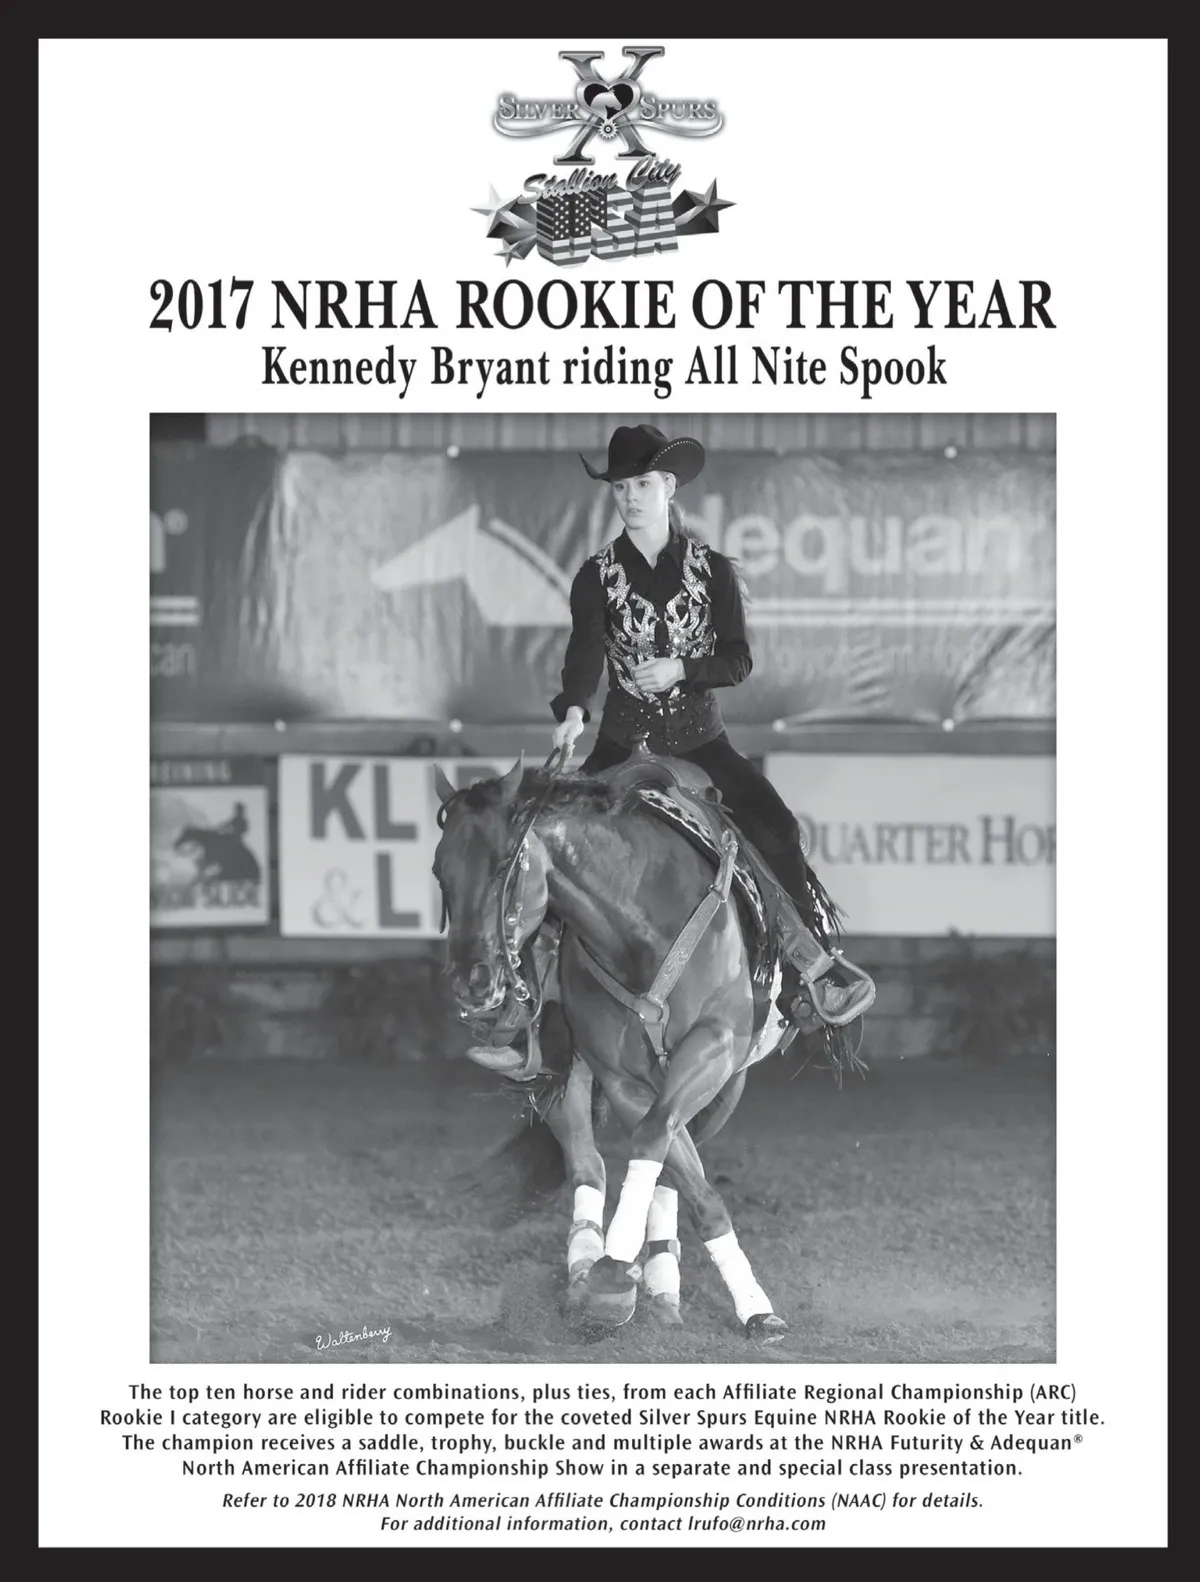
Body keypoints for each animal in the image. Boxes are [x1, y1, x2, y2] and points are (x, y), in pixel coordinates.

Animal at [431, 748, 863, 1342]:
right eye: (439, 871)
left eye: (503, 865)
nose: (472, 983)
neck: (639, 924)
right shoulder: (619, 1079)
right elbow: (669, 1162)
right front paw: (609, 1278)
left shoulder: (714, 1048)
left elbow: (666, 1150)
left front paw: (744, 1304)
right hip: (567, 1070)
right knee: (589, 1164)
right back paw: (586, 1264)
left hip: (727, 1087)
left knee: (673, 1163)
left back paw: (660, 1283)